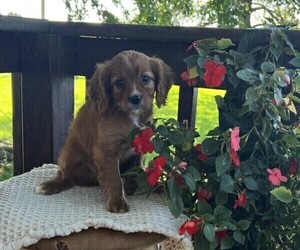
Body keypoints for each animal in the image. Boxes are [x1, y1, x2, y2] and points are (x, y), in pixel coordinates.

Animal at [36, 50, 173, 213]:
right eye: (119, 83)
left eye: (145, 78)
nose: (135, 98)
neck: (128, 115)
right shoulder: (106, 152)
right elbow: (114, 178)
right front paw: (117, 202)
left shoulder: (138, 148)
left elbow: (137, 171)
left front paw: (138, 187)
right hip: (68, 155)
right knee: (65, 176)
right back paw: (52, 185)